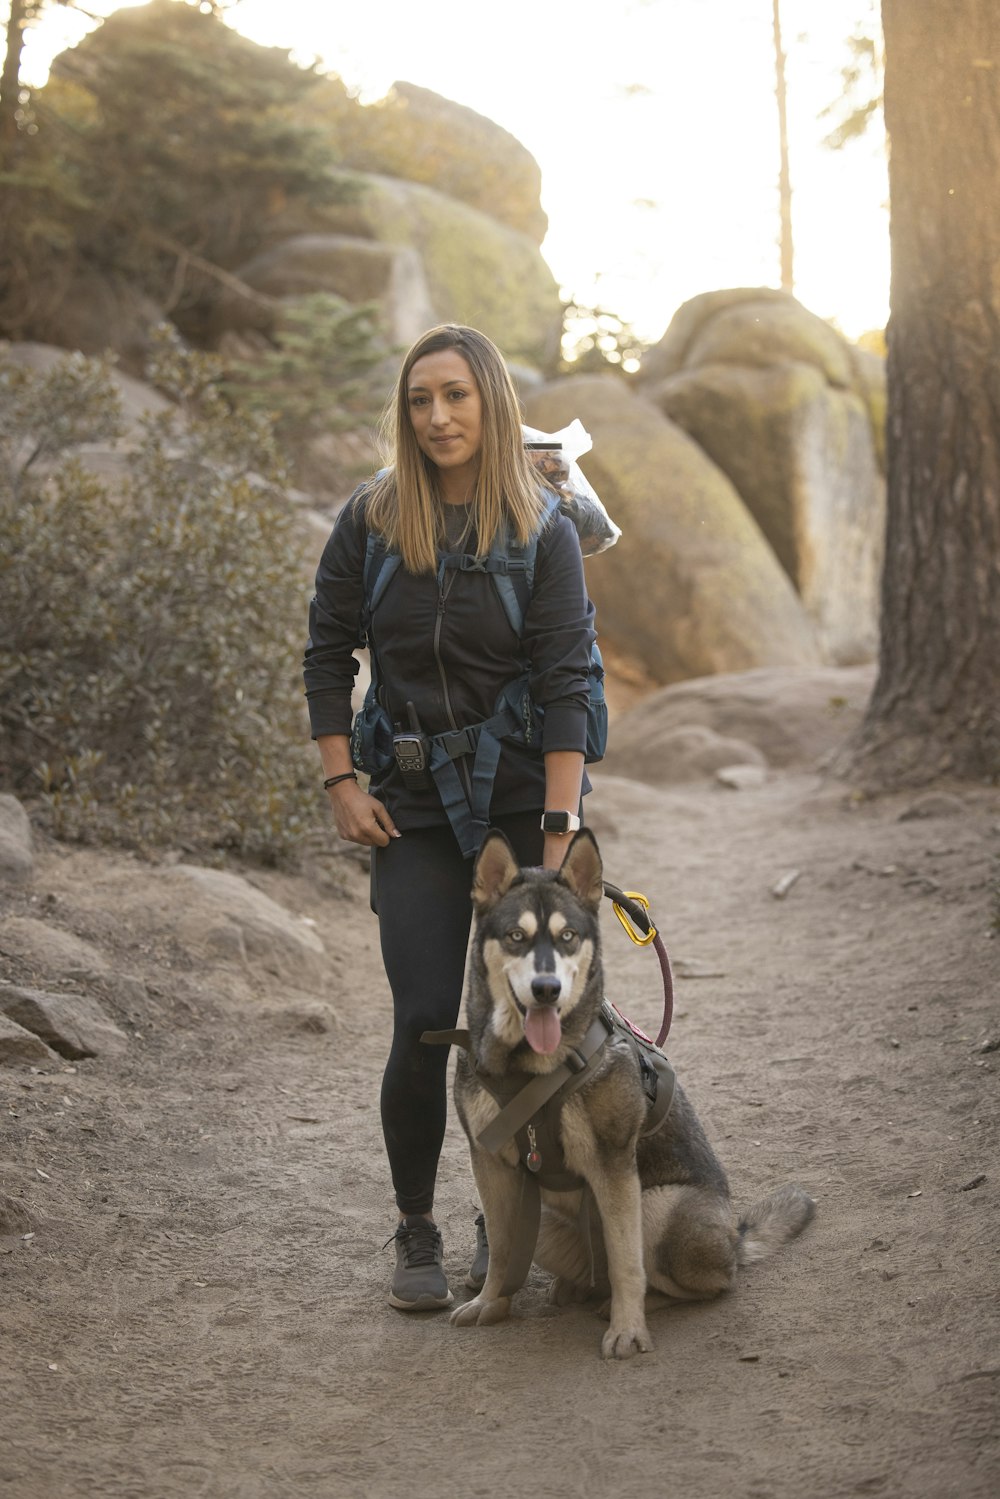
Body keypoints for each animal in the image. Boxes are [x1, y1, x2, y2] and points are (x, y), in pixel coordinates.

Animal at [446, 827, 815, 1367]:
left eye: (568, 937)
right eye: (516, 936)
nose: (546, 988)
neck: (527, 1065)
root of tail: (736, 1237)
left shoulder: (613, 1165)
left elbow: (626, 1265)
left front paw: (627, 1331)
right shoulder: (491, 1164)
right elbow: (501, 1245)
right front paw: (492, 1303)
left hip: (657, 1207)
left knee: (703, 1284)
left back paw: (631, 1303)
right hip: (549, 1222)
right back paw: (573, 1289)